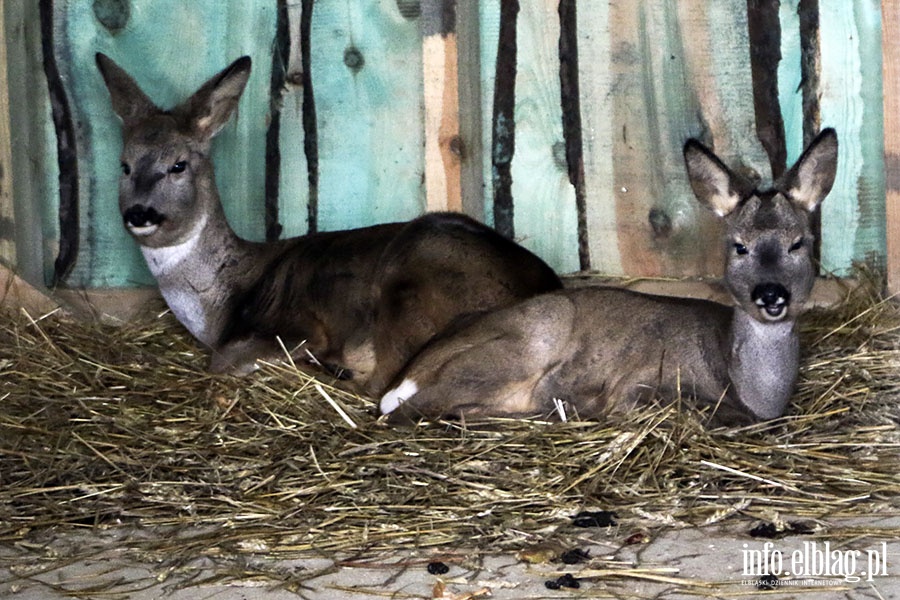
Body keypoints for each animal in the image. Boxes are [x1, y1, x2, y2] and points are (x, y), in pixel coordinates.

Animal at [98, 52, 564, 394]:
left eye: (178, 165)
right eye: (124, 165)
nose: (139, 213)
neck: (222, 299)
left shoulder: (297, 328)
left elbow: (224, 361)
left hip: (410, 285)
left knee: (379, 386)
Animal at [384, 129, 840, 424]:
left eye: (798, 243)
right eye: (738, 246)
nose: (771, 293)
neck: (751, 391)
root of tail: (406, 375)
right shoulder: (639, 382)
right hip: (533, 335)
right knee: (414, 411)